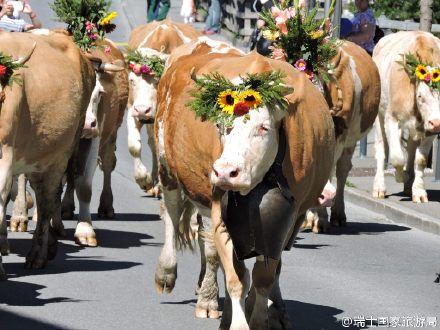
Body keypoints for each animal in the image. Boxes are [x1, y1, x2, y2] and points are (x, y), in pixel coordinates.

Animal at [0, 31, 95, 278]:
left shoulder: (5, 155)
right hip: (38, 159)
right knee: (43, 196)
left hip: (61, 154)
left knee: (48, 200)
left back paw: (38, 254)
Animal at [124, 20, 199, 196]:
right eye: (132, 80)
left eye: (158, 81)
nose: (142, 110)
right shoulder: (132, 109)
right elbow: (133, 145)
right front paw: (143, 179)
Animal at [153, 40, 336, 326]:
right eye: (220, 125)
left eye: (263, 127)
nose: (225, 172)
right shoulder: (220, 212)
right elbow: (236, 277)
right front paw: (239, 320)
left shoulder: (287, 220)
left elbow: (264, 276)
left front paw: (262, 316)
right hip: (167, 168)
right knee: (172, 217)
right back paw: (173, 277)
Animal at [372, 31, 440, 202]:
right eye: (421, 96)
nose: (437, 123)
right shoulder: (391, 117)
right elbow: (397, 157)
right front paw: (400, 176)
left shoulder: (430, 129)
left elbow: (420, 159)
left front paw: (419, 191)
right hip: (379, 115)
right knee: (382, 149)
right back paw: (379, 187)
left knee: (410, 148)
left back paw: (409, 185)